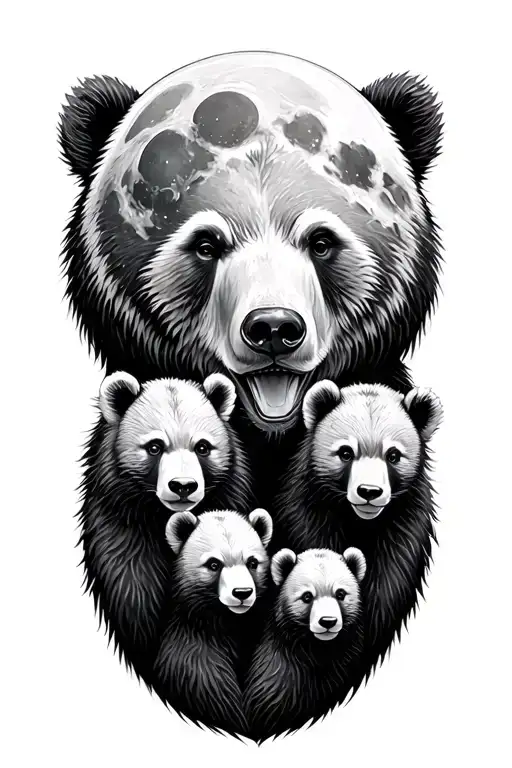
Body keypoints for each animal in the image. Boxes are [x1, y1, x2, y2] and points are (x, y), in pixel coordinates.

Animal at [79, 370, 254, 685]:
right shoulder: (123, 527)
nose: (183, 486)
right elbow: (133, 590)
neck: (164, 518)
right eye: (155, 447)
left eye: (202, 447)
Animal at [272, 381, 443, 700]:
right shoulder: (309, 518)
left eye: (393, 455)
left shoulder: (402, 535)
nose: (369, 492)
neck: (361, 525)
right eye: (345, 452)